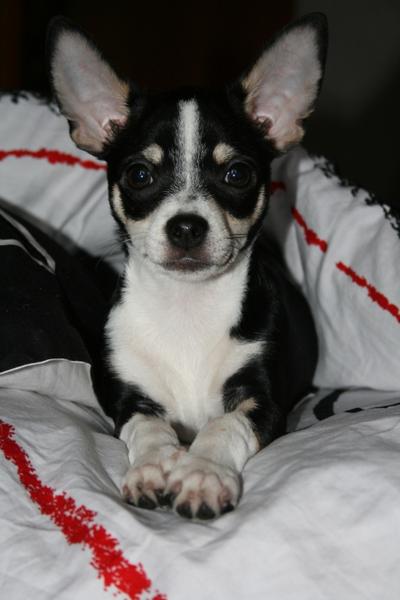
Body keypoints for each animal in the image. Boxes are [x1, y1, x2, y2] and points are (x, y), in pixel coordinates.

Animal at [48, 13, 326, 520]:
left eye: (238, 173)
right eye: (139, 175)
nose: (186, 226)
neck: (187, 308)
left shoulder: (264, 405)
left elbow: (222, 427)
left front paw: (202, 474)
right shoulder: (126, 401)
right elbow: (149, 427)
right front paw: (155, 467)